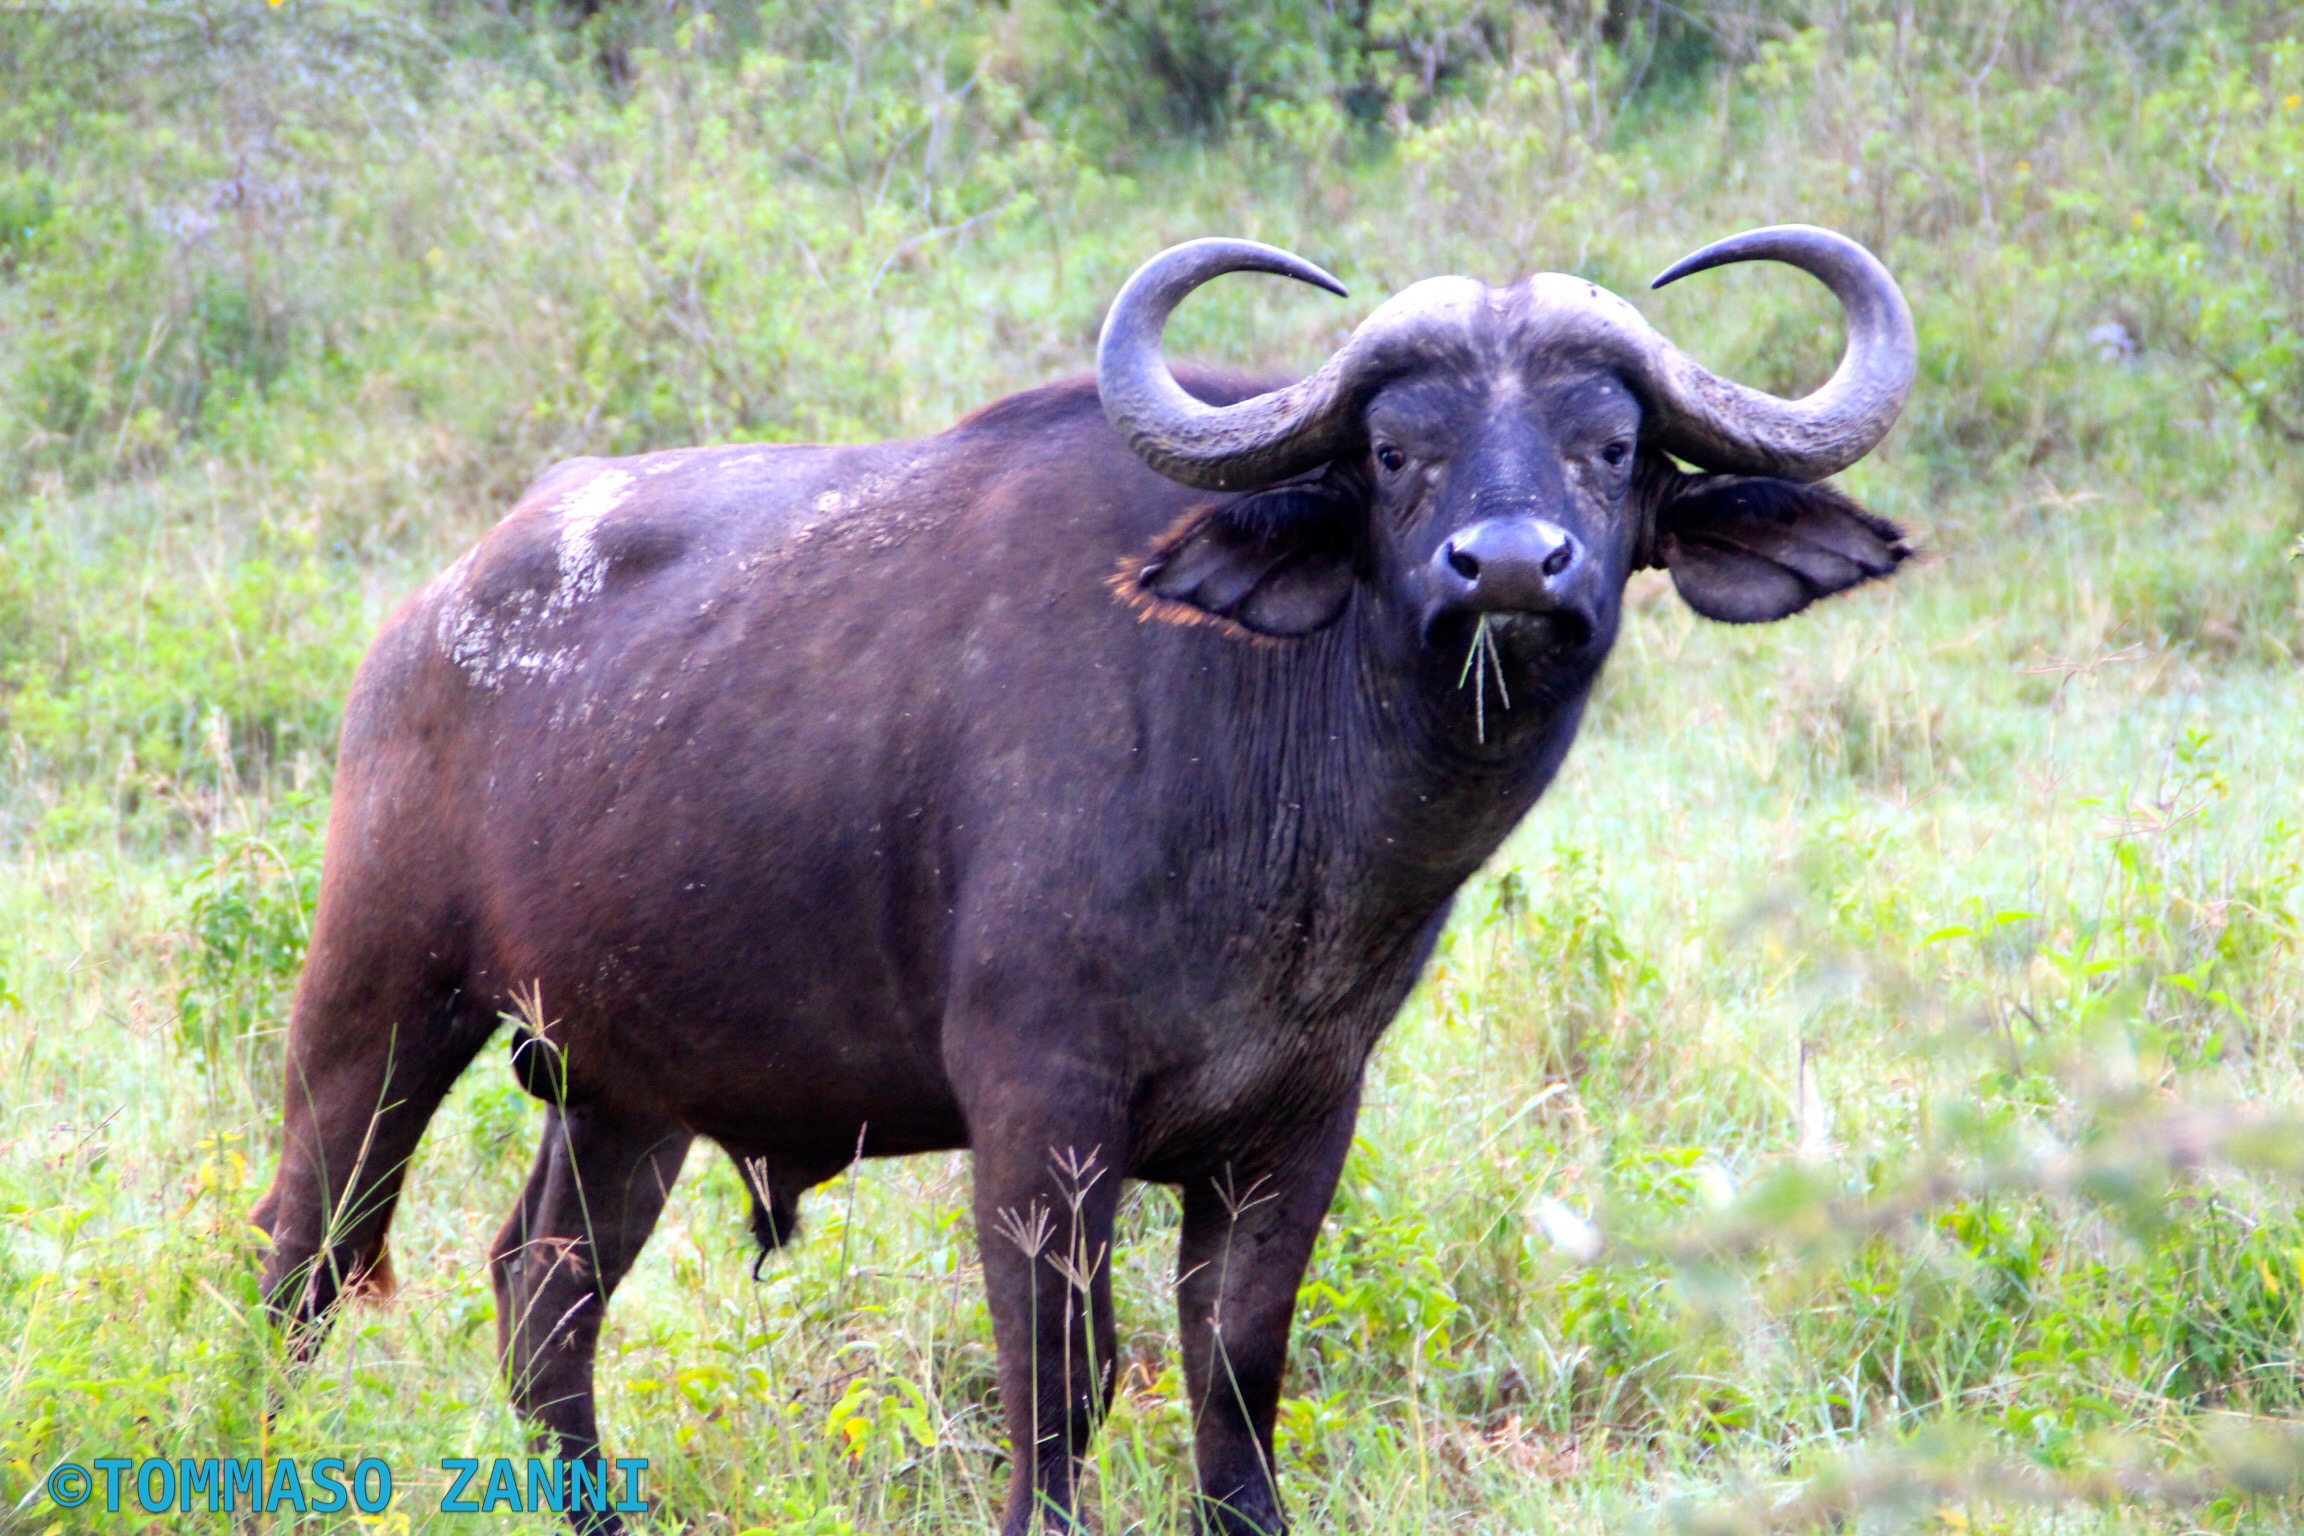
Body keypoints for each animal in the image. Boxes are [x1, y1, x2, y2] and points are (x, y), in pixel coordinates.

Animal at [253, 225, 1915, 1534]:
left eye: (1612, 446)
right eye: (1396, 452)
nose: (1510, 568)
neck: (1278, 792)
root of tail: (433, 614)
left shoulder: (1300, 1123)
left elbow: (1234, 1377)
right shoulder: (1038, 1116)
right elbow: (1059, 1383)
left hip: (622, 1086)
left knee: (543, 1292)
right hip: (380, 1003)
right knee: (305, 1255)